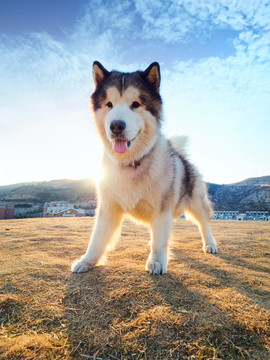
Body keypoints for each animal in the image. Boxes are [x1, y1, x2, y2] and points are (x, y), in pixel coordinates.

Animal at [71, 62, 217, 276]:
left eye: (136, 104)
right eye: (109, 104)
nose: (116, 126)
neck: (132, 163)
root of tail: (182, 156)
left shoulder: (162, 210)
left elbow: (159, 241)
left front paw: (157, 261)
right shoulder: (108, 207)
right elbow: (97, 238)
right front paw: (87, 261)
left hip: (196, 203)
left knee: (203, 224)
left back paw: (210, 244)